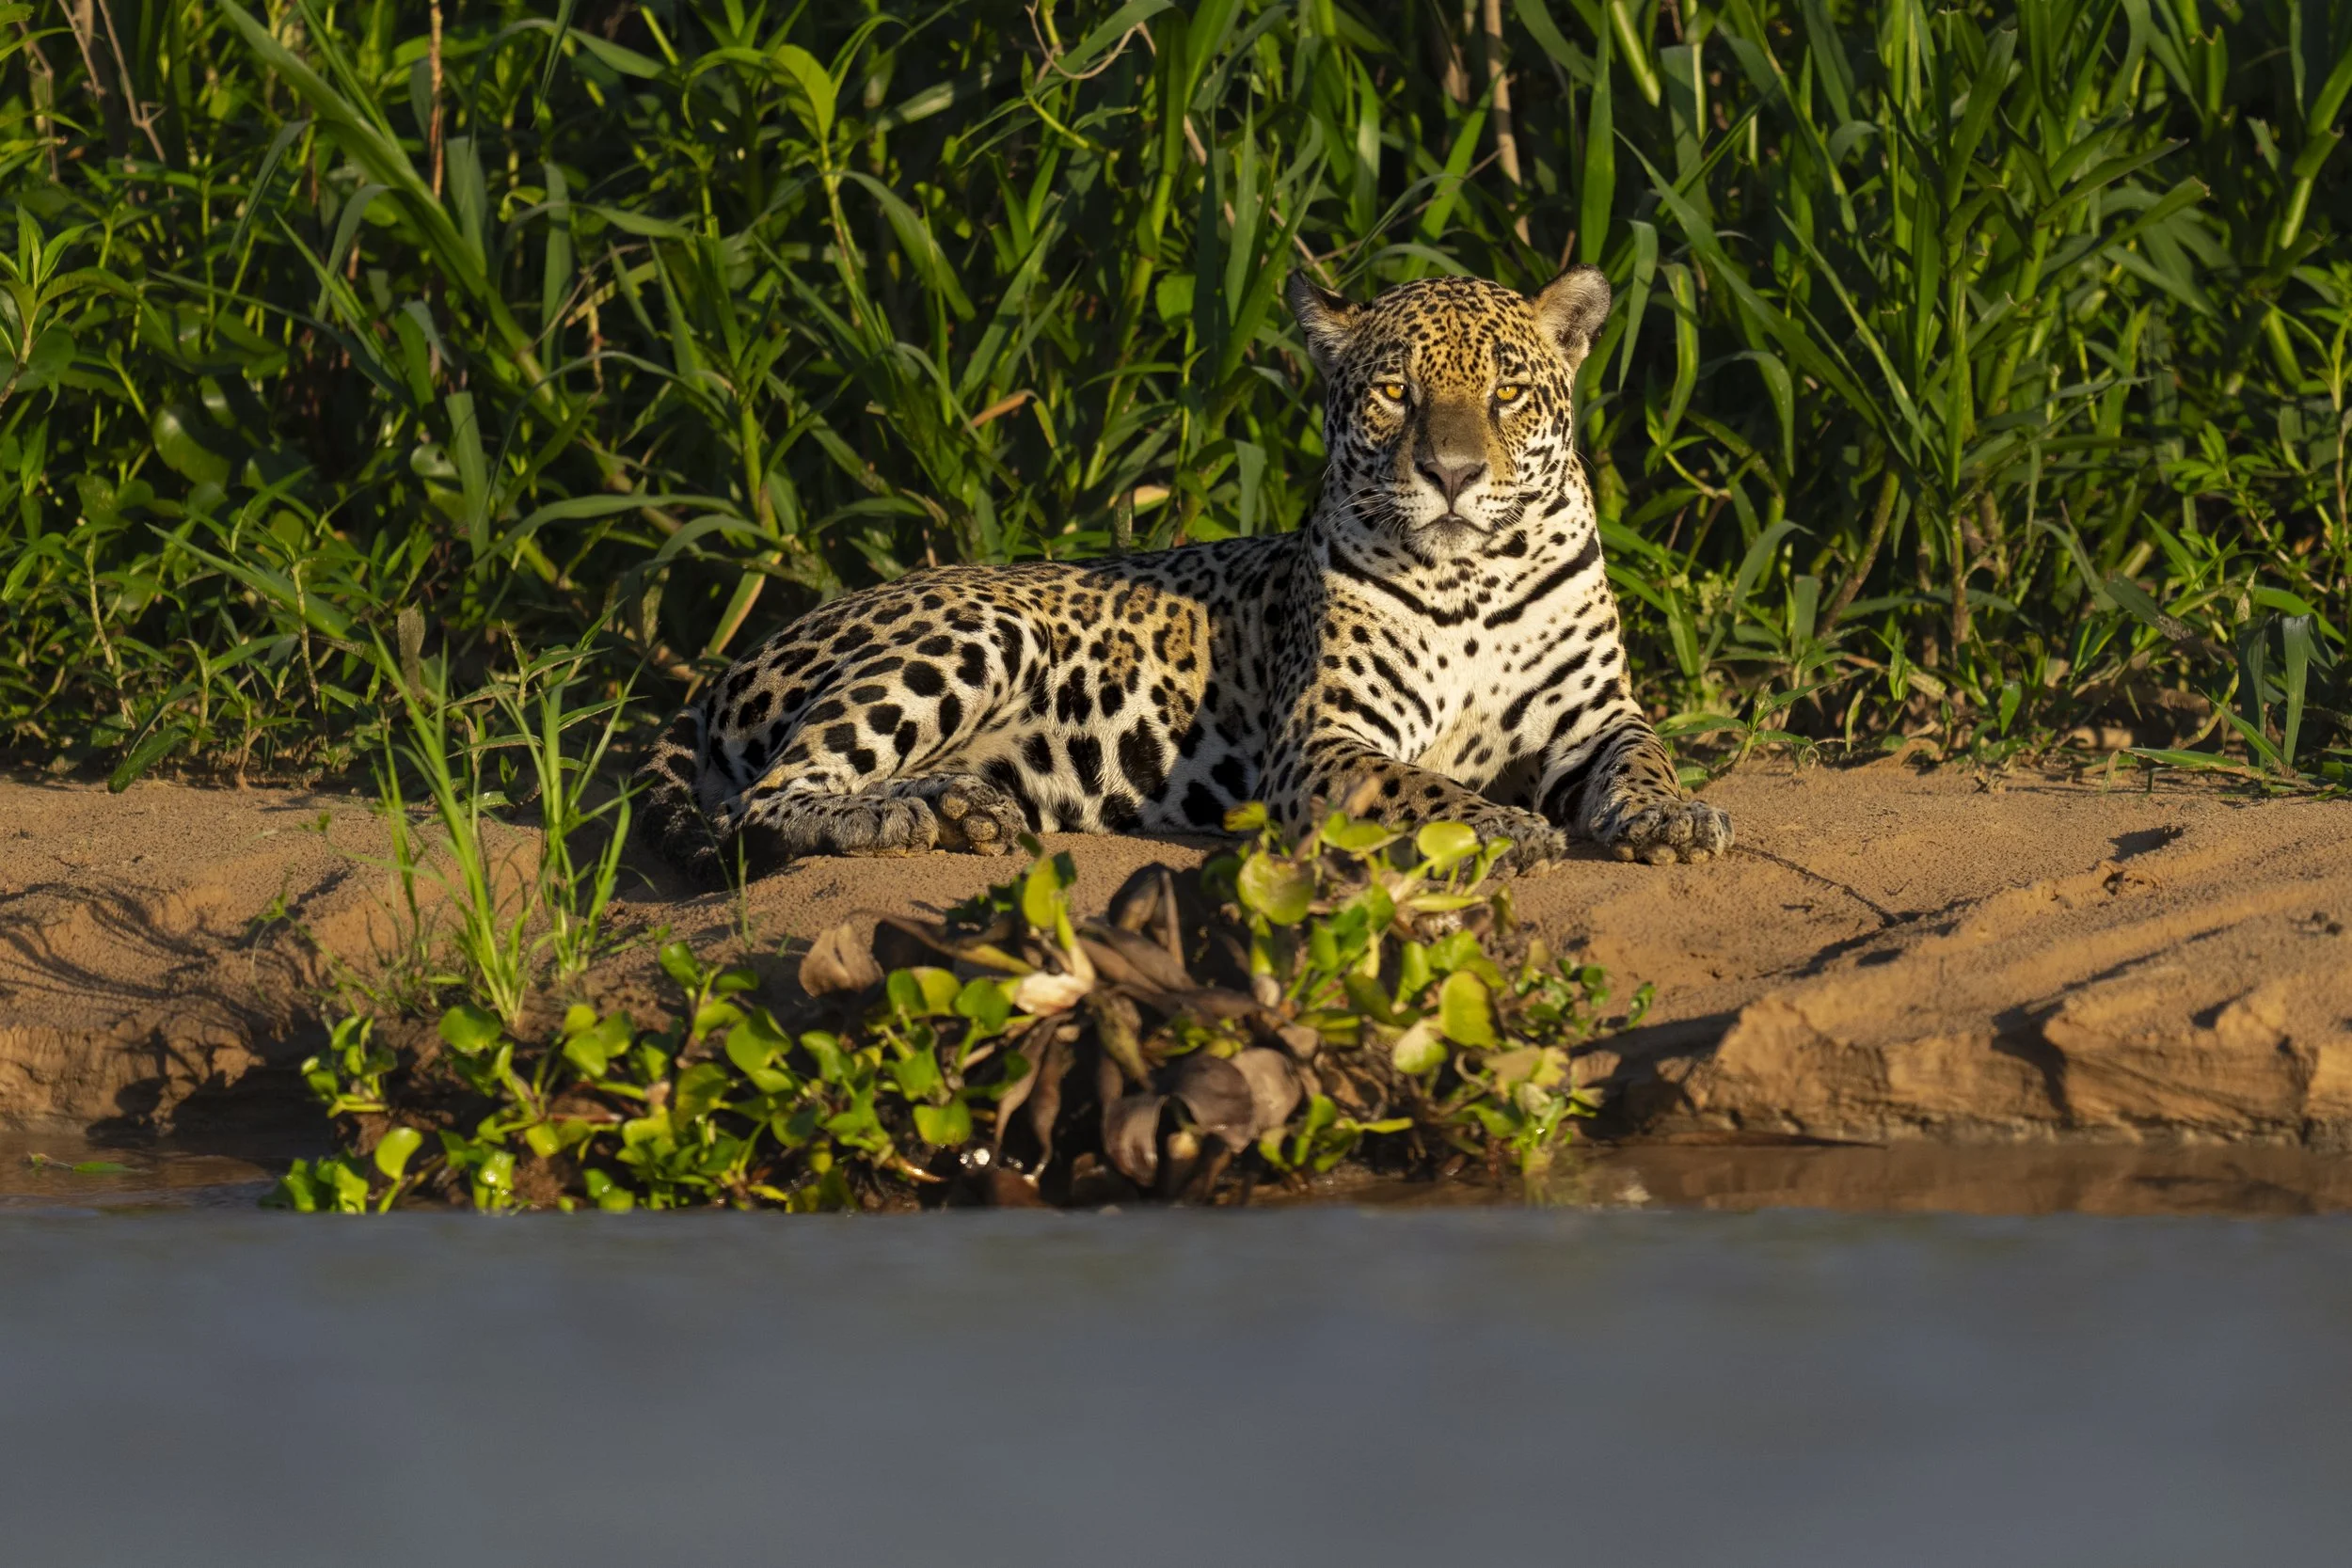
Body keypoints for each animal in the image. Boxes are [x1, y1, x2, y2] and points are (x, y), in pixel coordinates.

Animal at [634, 264, 1731, 886]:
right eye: (1393, 391)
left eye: (1507, 393)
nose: (1452, 475)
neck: (1474, 582)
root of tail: (733, 662)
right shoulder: (1323, 737)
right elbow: (1416, 785)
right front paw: (1499, 823)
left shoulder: (1596, 715)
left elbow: (1646, 757)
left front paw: (1672, 815)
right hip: (974, 630)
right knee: (768, 794)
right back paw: (898, 812)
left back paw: (960, 806)